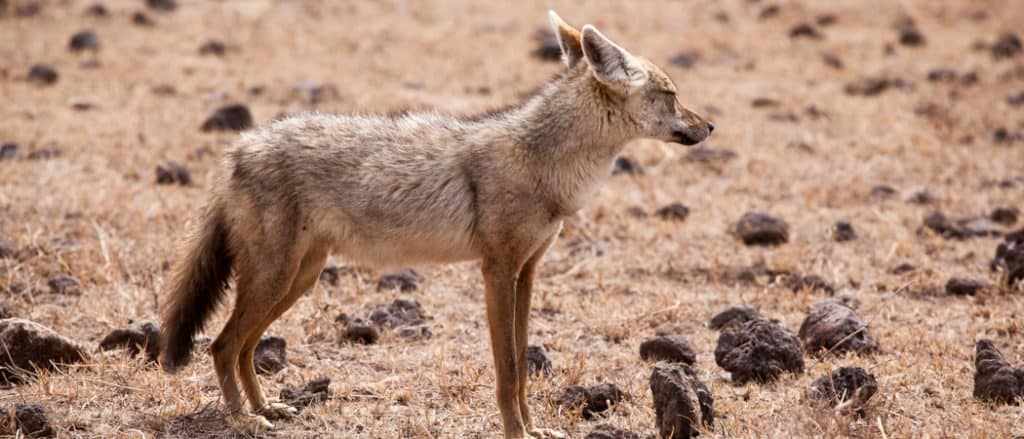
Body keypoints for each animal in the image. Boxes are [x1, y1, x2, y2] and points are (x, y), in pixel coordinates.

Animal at [159, 11, 708, 437]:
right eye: (672, 93)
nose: (710, 126)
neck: (544, 163)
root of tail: (238, 147)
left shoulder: (527, 273)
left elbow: (522, 365)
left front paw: (534, 429)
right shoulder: (496, 271)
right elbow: (508, 369)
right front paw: (516, 433)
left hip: (297, 280)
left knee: (244, 346)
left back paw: (265, 408)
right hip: (275, 280)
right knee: (222, 344)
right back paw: (243, 420)